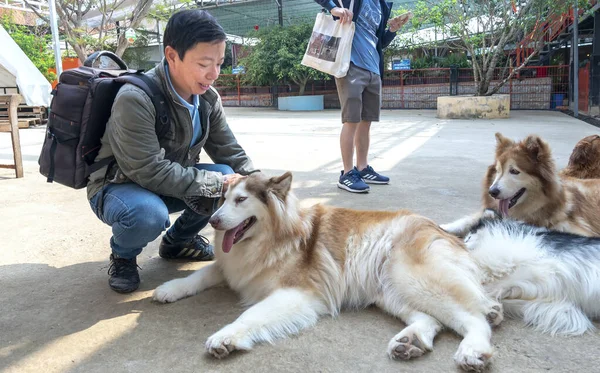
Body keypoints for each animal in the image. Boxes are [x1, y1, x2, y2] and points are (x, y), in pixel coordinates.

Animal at [154, 171, 502, 370]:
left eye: (240, 200)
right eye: (223, 199)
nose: (212, 221)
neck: (271, 238)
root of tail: (440, 228)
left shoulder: (297, 294)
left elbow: (249, 316)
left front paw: (225, 337)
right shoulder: (234, 268)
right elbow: (198, 275)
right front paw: (169, 289)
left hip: (411, 277)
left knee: (476, 318)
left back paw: (473, 349)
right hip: (389, 290)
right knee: (432, 320)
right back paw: (411, 341)